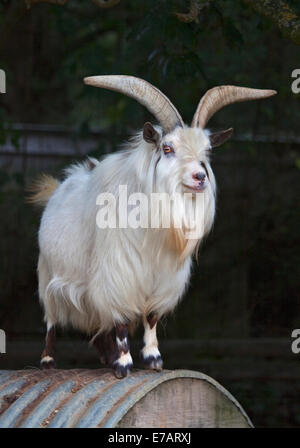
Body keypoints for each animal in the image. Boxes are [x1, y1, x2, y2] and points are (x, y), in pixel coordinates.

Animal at [30, 77, 276, 378]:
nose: (200, 177)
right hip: (48, 275)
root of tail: (60, 186)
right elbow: (121, 321)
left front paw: (153, 359)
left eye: (207, 151)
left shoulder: (164, 279)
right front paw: (124, 364)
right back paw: (49, 361)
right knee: (52, 320)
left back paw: (106, 357)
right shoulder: (118, 275)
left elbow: (151, 317)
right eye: (168, 148)